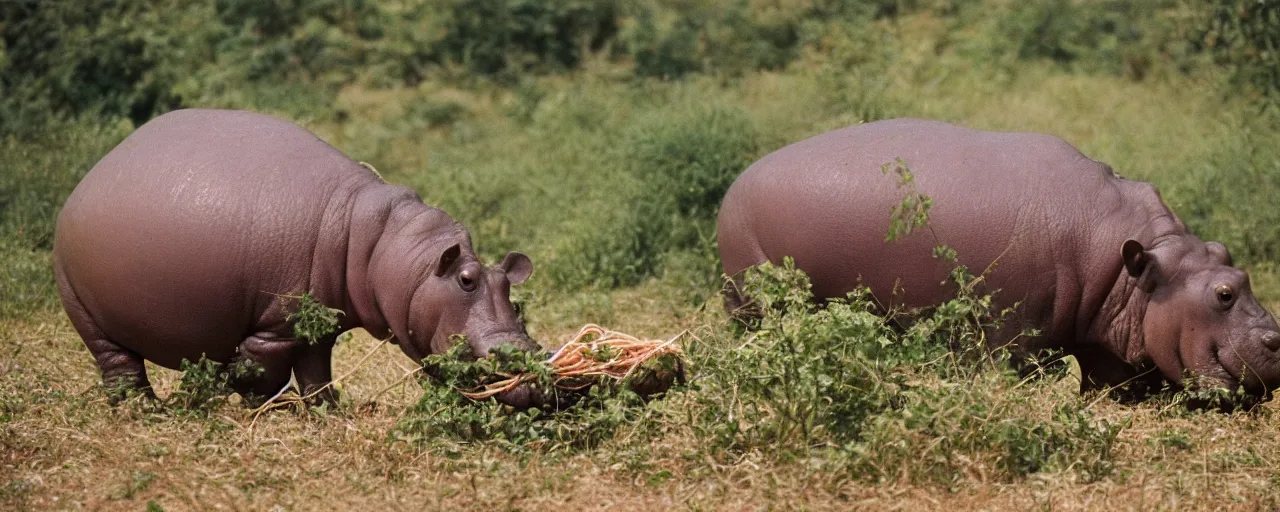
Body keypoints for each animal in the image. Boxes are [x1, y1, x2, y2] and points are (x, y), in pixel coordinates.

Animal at [53, 108, 545, 407]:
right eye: (466, 279)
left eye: (511, 287)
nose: (529, 373)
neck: (396, 251)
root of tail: (93, 174)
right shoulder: (274, 327)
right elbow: (260, 372)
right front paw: (248, 399)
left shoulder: (319, 323)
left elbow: (315, 370)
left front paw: (329, 410)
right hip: (85, 312)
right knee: (119, 365)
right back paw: (144, 410)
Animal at [716, 117, 1280, 396]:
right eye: (1223, 294)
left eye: (1234, 263)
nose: (1277, 338)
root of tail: (734, 185)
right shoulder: (1008, 339)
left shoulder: (1105, 342)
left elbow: (1111, 385)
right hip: (755, 303)